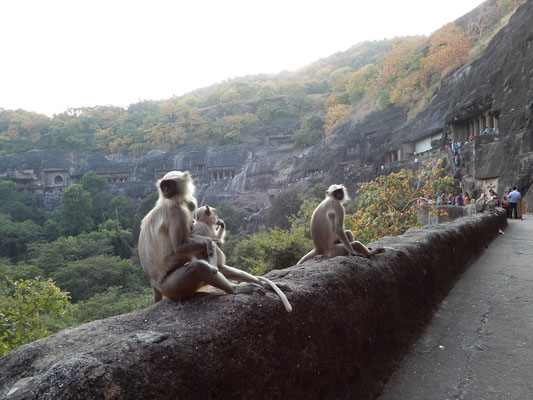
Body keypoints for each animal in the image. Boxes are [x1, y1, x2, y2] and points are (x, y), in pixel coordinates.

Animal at [137, 170, 262, 304]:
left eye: (169, 184)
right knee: (198, 267)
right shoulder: (176, 210)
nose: (165, 191)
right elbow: (180, 247)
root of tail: (154, 285)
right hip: (171, 286)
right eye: (164, 185)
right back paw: (233, 289)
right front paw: (211, 241)